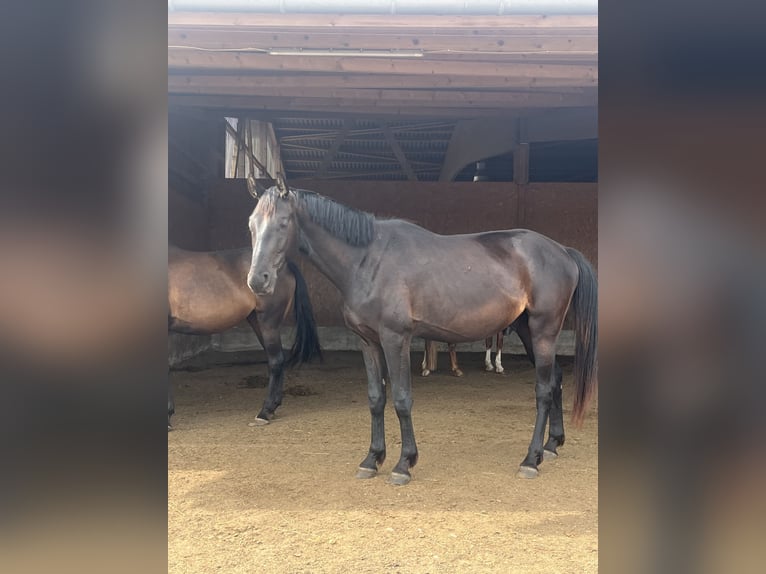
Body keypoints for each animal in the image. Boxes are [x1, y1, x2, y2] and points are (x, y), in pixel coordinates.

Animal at [168, 244, 322, 429]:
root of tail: (285, 265)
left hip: (268, 323)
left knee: (275, 361)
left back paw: (265, 412)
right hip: (257, 321)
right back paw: (273, 407)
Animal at [246, 186, 597, 484]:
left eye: (282, 222)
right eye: (251, 224)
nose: (257, 280)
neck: (367, 260)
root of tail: (562, 251)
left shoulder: (395, 339)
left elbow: (402, 399)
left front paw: (404, 464)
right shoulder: (367, 341)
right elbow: (376, 398)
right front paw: (372, 459)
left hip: (543, 331)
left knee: (543, 390)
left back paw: (530, 460)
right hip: (528, 331)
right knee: (556, 379)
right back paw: (552, 445)